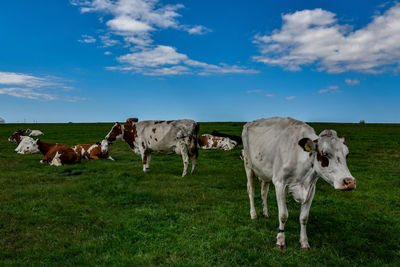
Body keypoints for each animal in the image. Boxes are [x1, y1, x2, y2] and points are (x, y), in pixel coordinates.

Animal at [241, 118, 356, 250]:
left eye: (347, 154)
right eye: (324, 154)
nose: (349, 182)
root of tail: (250, 123)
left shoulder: (311, 188)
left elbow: (304, 218)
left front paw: (304, 242)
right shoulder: (280, 184)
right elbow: (283, 215)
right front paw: (280, 240)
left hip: (265, 172)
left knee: (264, 192)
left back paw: (265, 213)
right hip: (248, 166)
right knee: (251, 190)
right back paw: (253, 214)